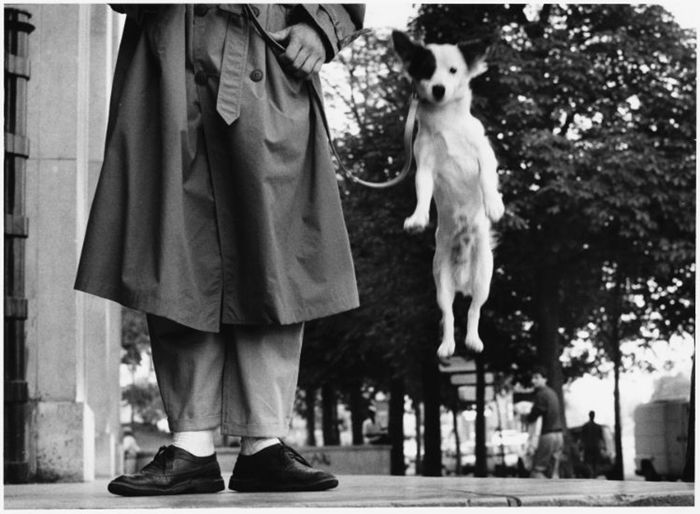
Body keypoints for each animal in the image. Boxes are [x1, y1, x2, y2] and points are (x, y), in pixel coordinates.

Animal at [394, 31, 504, 356]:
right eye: (426, 70)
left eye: (454, 70)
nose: (439, 89)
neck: (447, 124)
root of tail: (463, 278)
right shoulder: (425, 167)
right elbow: (422, 193)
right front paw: (417, 219)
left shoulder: (484, 155)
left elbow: (487, 179)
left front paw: (494, 205)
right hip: (441, 282)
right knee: (449, 313)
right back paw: (448, 345)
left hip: (484, 279)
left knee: (474, 310)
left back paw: (473, 340)